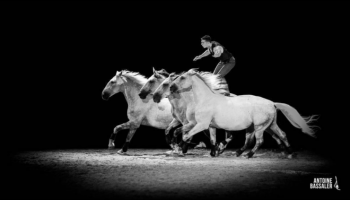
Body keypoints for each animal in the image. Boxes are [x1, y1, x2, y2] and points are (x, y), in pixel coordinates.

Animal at [171, 69, 318, 158]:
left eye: (182, 77)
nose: (171, 87)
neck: (205, 99)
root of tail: (272, 103)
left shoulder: (201, 124)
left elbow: (186, 135)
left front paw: (179, 149)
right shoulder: (205, 125)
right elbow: (185, 132)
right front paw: (213, 152)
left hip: (259, 127)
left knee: (259, 141)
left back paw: (249, 154)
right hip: (269, 125)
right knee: (281, 135)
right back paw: (290, 153)